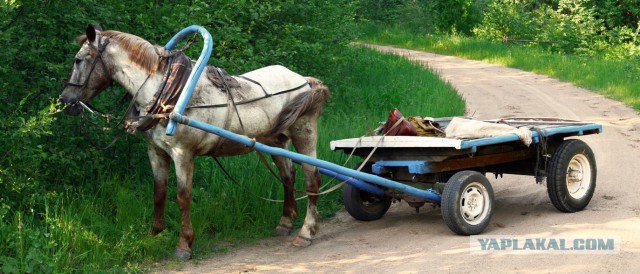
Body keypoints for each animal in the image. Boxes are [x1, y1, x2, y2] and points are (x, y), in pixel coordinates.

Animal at [61, 24, 330, 260]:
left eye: (78, 60)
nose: (65, 100)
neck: (166, 91)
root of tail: (305, 80)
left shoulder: (183, 154)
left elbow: (183, 197)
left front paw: (184, 245)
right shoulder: (155, 152)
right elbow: (158, 192)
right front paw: (154, 234)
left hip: (304, 133)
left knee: (312, 178)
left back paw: (306, 232)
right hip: (275, 140)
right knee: (288, 175)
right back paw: (286, 222)